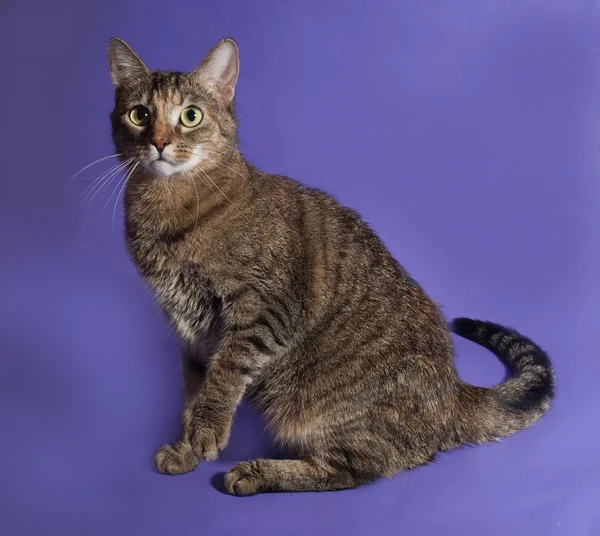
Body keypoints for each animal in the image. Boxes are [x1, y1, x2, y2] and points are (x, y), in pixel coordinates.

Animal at [106, 36, 552, 494]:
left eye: (190, 116)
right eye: (140, 115)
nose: (159, 141)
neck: (167, 212)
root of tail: (452, 392)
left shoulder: (266, 309)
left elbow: (225, 374)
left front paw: (207, 430)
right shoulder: (192, 334)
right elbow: (193, 390)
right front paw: (186, 448)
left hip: (324, 409)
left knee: (358, 468)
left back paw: (256, 473)